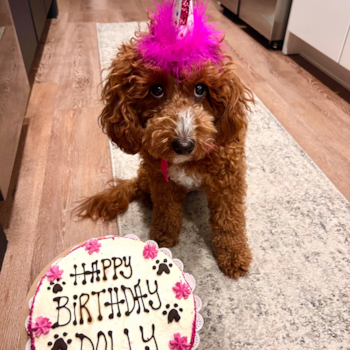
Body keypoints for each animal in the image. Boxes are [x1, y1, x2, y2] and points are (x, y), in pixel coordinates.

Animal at [75, 0, 253, 278]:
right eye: (156, 89)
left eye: (201, 89)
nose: (184, 145)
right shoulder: (161, 179)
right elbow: (166, 209)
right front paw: (162, 237)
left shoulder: (228, 181)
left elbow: (229, 221)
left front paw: (234, 256)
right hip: (148, 173)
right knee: (145, 190)